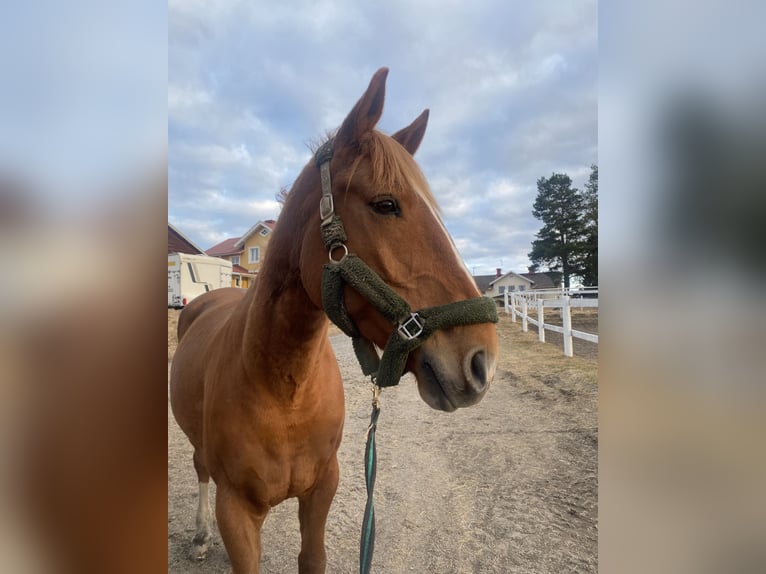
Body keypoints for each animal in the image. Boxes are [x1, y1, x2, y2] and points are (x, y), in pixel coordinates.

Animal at [170, 68, 500, 574]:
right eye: (386, 204)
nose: (482, 361)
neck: (284, 389)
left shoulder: (323, 488)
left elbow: (313, 557)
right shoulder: (237, 511)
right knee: (200, 468)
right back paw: (202, 535)